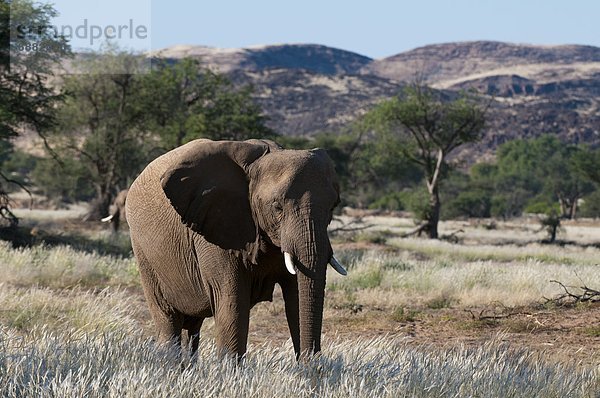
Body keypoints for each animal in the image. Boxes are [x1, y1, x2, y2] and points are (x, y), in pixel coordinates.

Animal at [126, 138, 346, 360]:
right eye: (277, 207)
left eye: (333, 207)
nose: (313, 363)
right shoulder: (215, 231)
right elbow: (233, 305)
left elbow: (296, 300)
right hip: (143, 253)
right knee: (168, 321)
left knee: (193, 328)